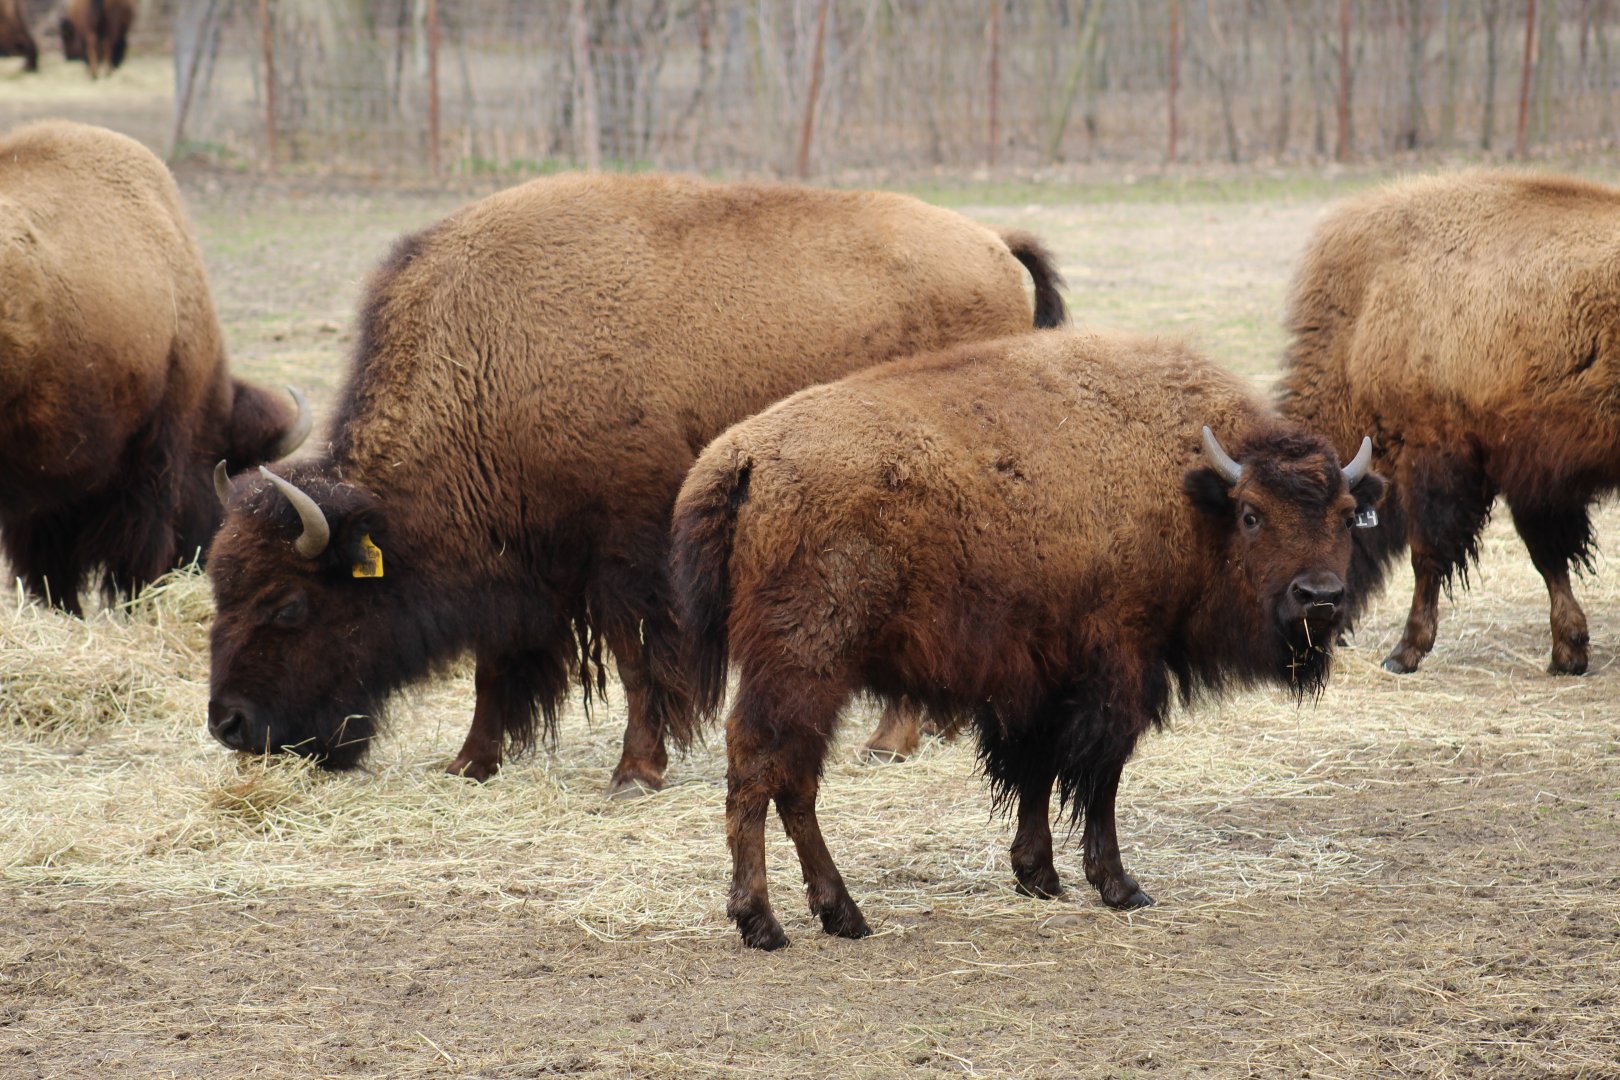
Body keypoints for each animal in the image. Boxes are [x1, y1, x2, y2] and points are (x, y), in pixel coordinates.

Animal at [205, 171, 1066, 793]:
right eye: (219, 588)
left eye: (289, 604)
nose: (229, 725)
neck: (492, 361)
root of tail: (991, 243)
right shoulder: (523, 564)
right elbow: (498, 666)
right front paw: (470, 763)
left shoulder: (624, 554)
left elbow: (637, 658)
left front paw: (634, 771)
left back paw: (892, 742)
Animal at [669, 329, 1383, 950]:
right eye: (1252, 515)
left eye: (1348, 516)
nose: (1320, 598)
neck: (1185, 490)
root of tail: (742, 457)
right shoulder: (1118, 666)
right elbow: (1099, 777)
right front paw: (1120, 886)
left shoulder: (1037, 679)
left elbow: (1035, 770)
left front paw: (1037, 875)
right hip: (805, 666)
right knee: (761, 770)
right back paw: (765, 922)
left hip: (811, 678)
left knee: (792, 781)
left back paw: (839, 914)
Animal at [1279, 170, 1620, 675]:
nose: (1297, 636)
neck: (1365, 315)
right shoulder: (1528, 469)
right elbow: (1549, 554)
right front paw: (1569, 652)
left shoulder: (1437, 455)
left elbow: (1429, 554)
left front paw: (1404, 652)